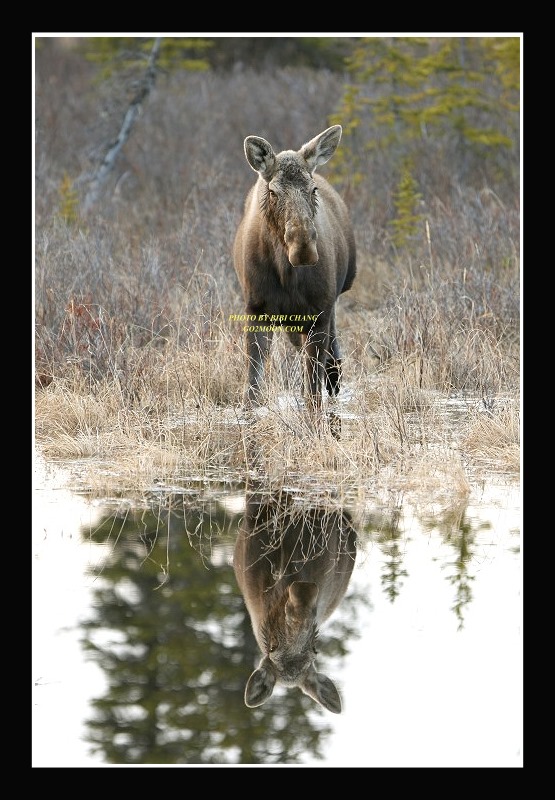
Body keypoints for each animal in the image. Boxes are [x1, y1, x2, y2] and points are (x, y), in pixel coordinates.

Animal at [233, 129, 356, 412]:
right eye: (273, 191)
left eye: (312, 189)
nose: (304, 249)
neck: (286, 275)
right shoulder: (256, 309)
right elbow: (252, 385)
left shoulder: (320, 312)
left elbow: (314, 391)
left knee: (332, 360)